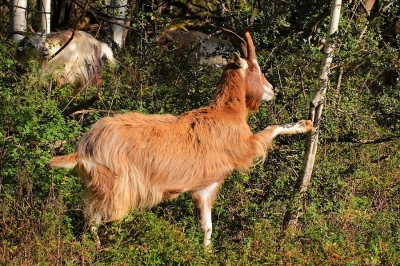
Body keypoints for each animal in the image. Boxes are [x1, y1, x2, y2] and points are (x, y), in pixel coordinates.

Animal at [50, 28, 312, 247]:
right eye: (255, 67)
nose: (271, 90)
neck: (225, 113)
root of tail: (84, 149)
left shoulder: (204, 187)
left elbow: (207, 228)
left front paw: (206, 253)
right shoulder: (244, 148)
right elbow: (270, 130)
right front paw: (304, 125)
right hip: (115, 188)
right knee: (95, 220)